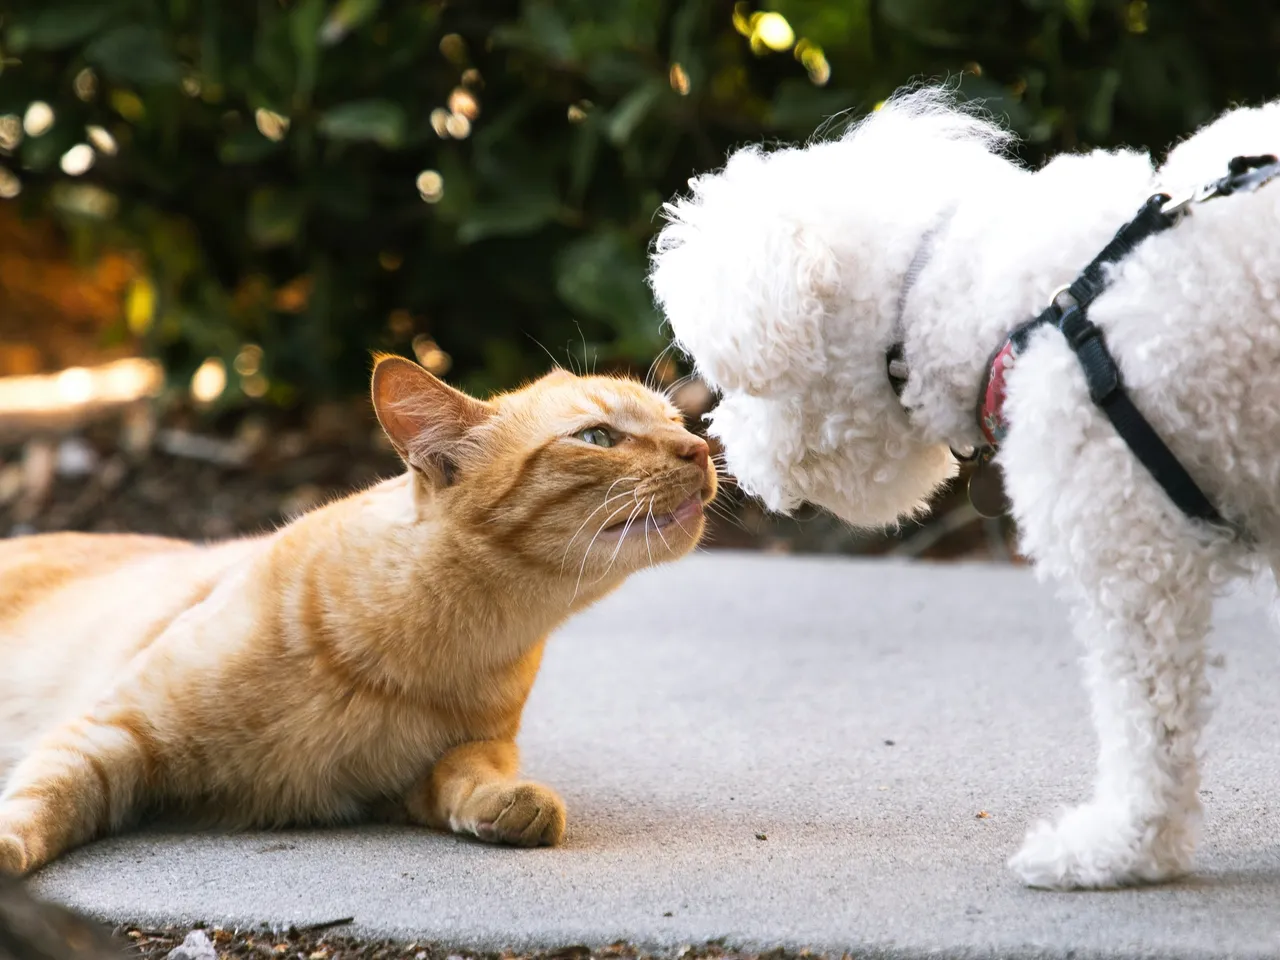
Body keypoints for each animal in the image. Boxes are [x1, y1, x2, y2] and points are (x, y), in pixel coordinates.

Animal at [0, 358, 716, 875]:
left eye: (677, 418)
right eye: (597, 437)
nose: (700, 448)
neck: (434, 647)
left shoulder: (438, 766)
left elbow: (468, 775)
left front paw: (509, 806)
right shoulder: (111, 732)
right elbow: (41, 800)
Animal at [650, 86, 1280, 890]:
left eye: (736, 381)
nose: (719, 446)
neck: (1019, 304)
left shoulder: (1131, 558)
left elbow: (1147, 724)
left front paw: (1120, 849)